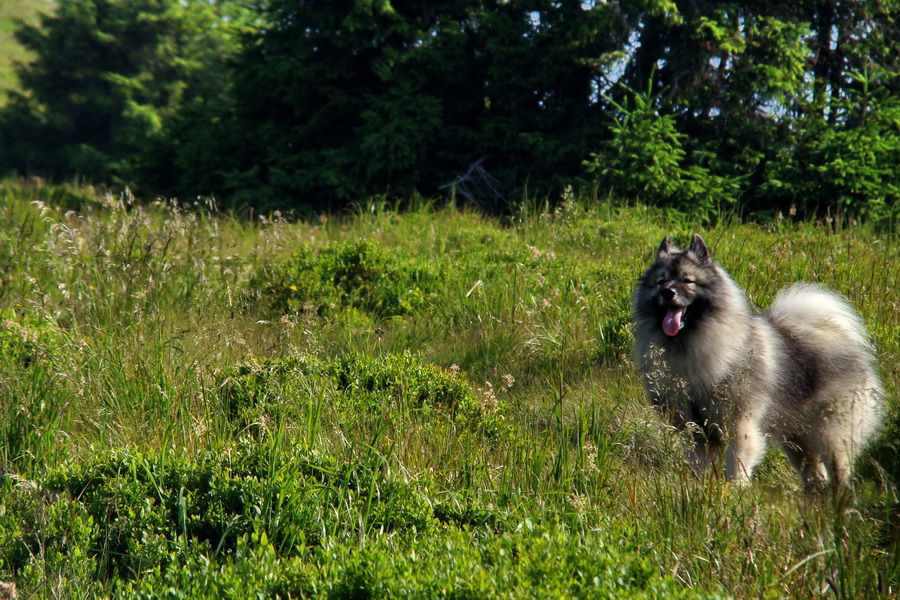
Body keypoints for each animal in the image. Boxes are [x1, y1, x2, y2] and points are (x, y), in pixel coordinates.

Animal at [636, 232, 884, 490]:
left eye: (688, 280)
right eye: (660, 282)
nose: (668, 292)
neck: (689, 345)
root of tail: (839, 335)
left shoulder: (740, 422)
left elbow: (737, 459)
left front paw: (736, 489)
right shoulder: (696, 429)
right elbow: (701, 461)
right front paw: (701, 486)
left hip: (829, 431)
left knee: (839, 466)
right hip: (796, 437)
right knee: (814, 470)